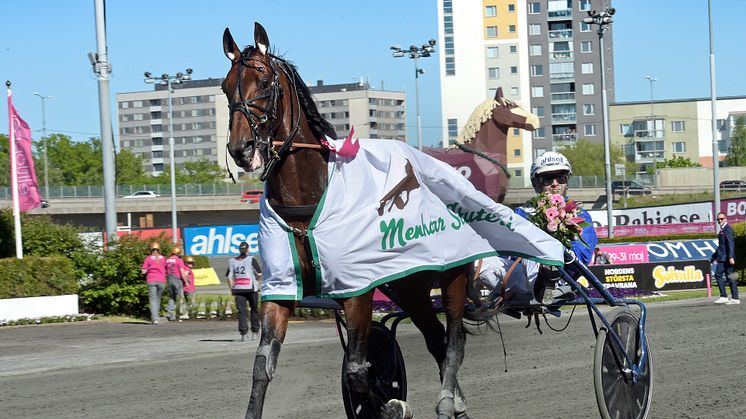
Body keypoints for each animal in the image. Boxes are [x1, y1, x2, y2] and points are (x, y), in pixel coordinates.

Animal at [221, 23, 474, 419]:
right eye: (225, 85)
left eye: (262, 80)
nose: (241, 149)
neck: (308, 203)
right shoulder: (280, 287)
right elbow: (263, 365)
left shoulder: (358, 290)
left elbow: (357, 368)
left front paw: (391, 406)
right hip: (408, 285)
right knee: (436, 338)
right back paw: (456, 402)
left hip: (453, 274)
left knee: (454, 339)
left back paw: (449, 399)